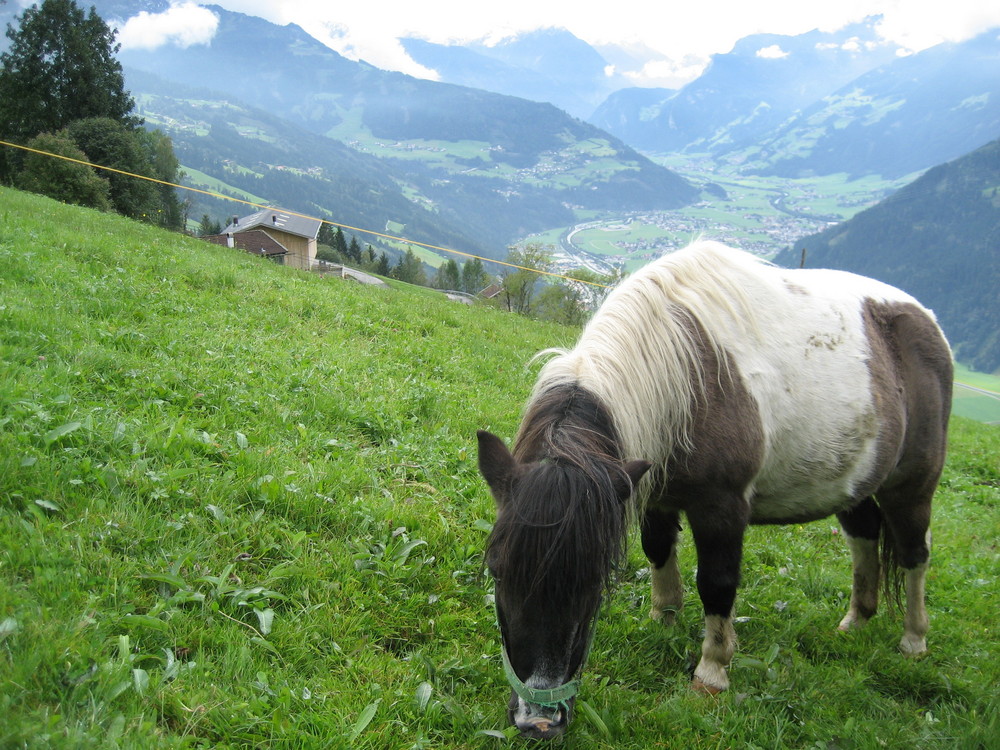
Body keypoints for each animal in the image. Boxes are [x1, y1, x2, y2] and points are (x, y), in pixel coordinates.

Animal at [478, 242, 952, 740]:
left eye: (594, 580)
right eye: (497, 571)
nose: (538, 721)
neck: (689, 377)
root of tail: (926, 322)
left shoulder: (721, 509)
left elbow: (717, 583)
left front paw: (712, 671)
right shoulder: (653, 492)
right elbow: (658, 553)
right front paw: (663, 621)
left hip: (912, 488)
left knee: (914, 554)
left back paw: (914, 639)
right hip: (854, 485)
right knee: (865, 535)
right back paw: (856, 620)